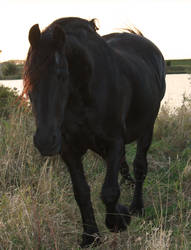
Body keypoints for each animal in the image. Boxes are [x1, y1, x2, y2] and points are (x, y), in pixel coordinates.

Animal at [22, 17, 166, 248]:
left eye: (62, 76)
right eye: (28, 76)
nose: (45, 141)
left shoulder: (114, 141)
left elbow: (109, 192)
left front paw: (120, 220)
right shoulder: (69, 150)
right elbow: (81, 192)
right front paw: (90, 236)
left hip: (147, 127)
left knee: (140, 167)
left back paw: (137, 207)